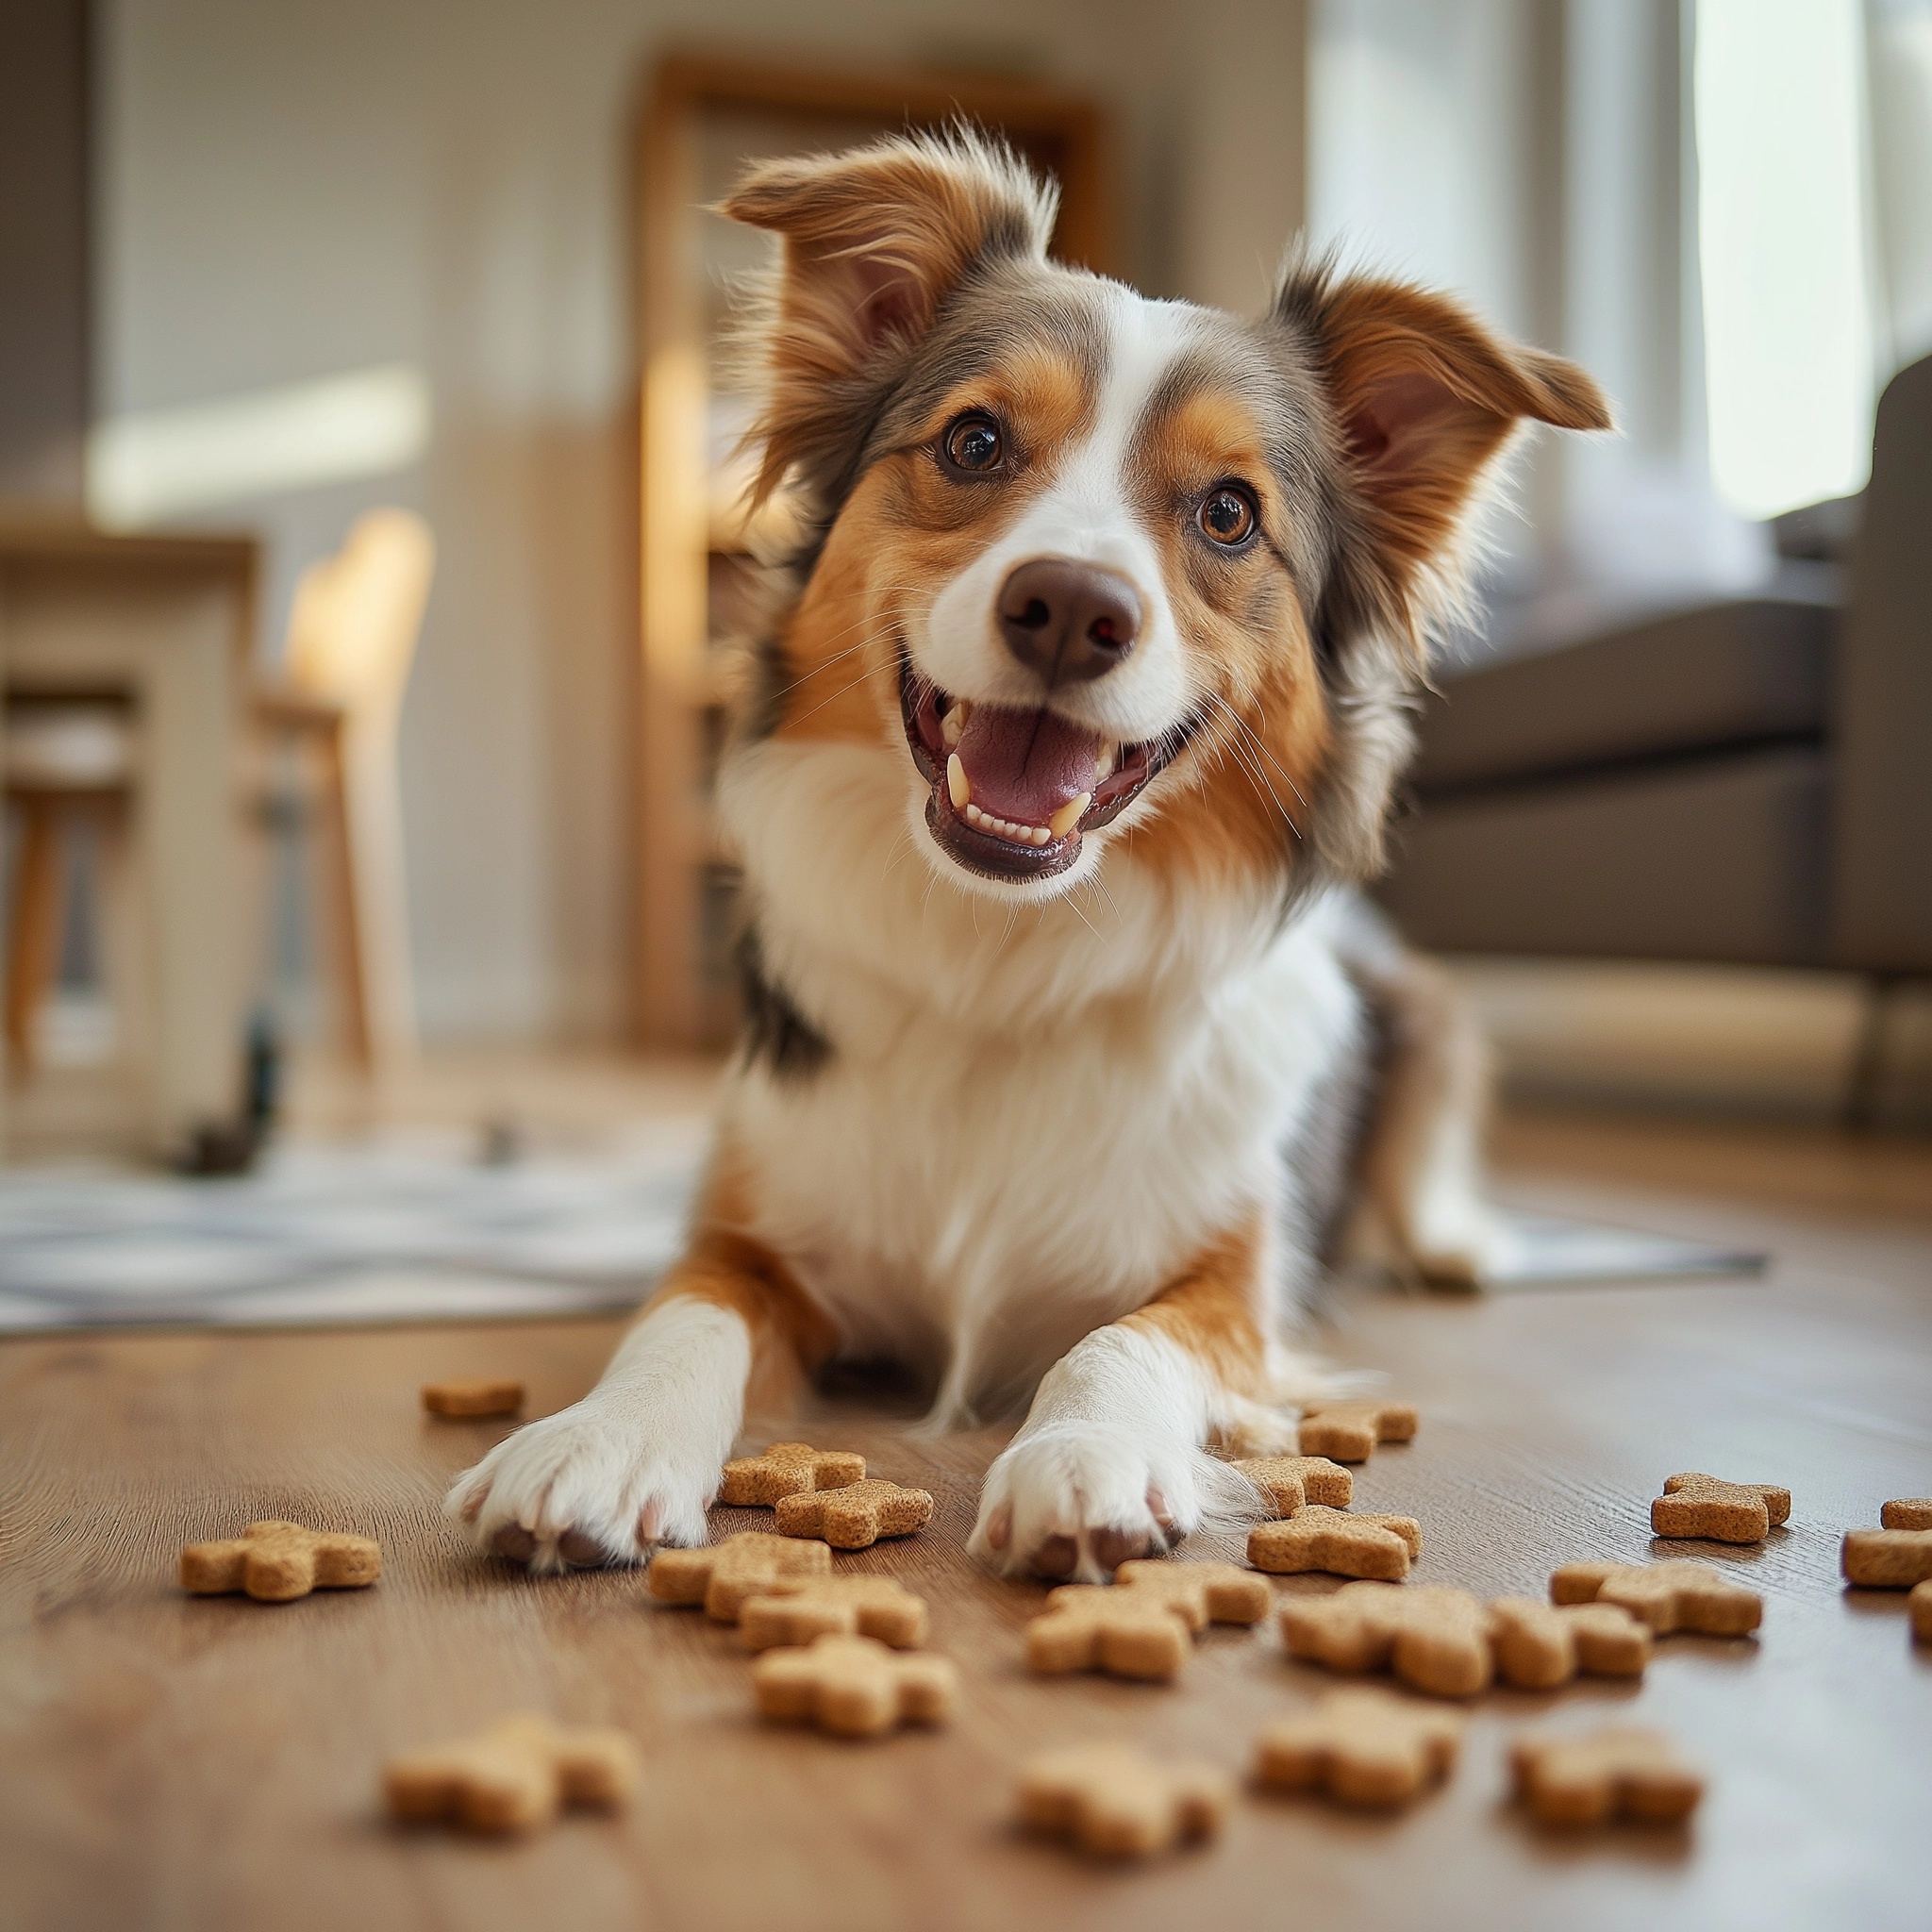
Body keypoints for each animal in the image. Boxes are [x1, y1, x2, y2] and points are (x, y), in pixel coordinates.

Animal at [444, 132, 1607, 1584]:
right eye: (974, 440)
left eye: (1230, 514)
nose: (1068, 608)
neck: (1001, 951)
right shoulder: (746, 1236)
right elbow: (681, 1319)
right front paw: (597, 1441)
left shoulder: (1233, 1287)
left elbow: (1122, 1337)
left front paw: (1086, 1457)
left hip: (1428, 1012)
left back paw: (1457, 1247)